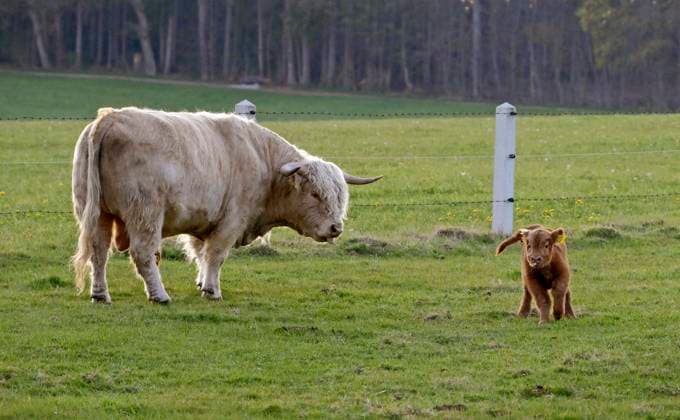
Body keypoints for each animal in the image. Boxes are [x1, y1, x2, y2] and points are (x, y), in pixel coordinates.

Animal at [71, 107, 381, 304]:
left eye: (340, 197)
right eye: (316, 194)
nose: (335, 228)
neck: (262, 159)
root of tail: (109, 117)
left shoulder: (202, 221)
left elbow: (200, 254)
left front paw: (200, 282)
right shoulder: (231, 221)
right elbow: (216, 256)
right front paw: (211, 290)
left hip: (96, 213)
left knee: (99, 252)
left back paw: (100, 294)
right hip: (145, 214)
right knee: (143, 254)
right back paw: (159, 295)